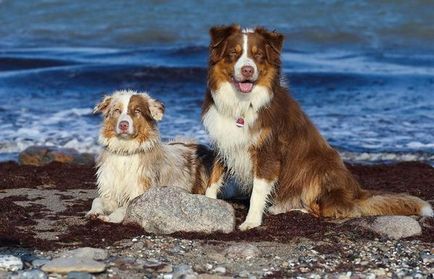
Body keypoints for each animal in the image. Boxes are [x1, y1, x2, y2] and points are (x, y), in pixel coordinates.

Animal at [86, 89, 212, 223]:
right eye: (117, 110)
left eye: (137, 111)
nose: (123, 125)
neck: (125, 152)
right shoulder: (109, 191)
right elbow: (97, 200)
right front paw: (94, 212)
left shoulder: (139, 192)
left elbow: (124, 208)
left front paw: (111, 217)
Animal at [202, 25, 432, 232]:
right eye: (233, 53)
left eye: (258, 55)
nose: (248, 70)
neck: (242, 103)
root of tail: (356, 193)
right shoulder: (224, 141)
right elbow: (214, 176)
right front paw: (209, 204)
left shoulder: (268, 151)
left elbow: (258, 190)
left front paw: (251, 221)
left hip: (318, 167)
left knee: (330, 208)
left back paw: (297, 209)